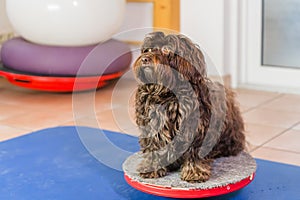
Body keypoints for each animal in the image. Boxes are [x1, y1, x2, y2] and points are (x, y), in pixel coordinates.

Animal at [132, 31, 245, 183]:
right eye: (147, 50)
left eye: (166, 49)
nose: (145, 59)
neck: (168, 94)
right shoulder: (151, 125)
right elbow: (153, 145)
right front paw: (152, 167)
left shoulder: (196, 129)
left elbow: (194, 152)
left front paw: (194, 171)